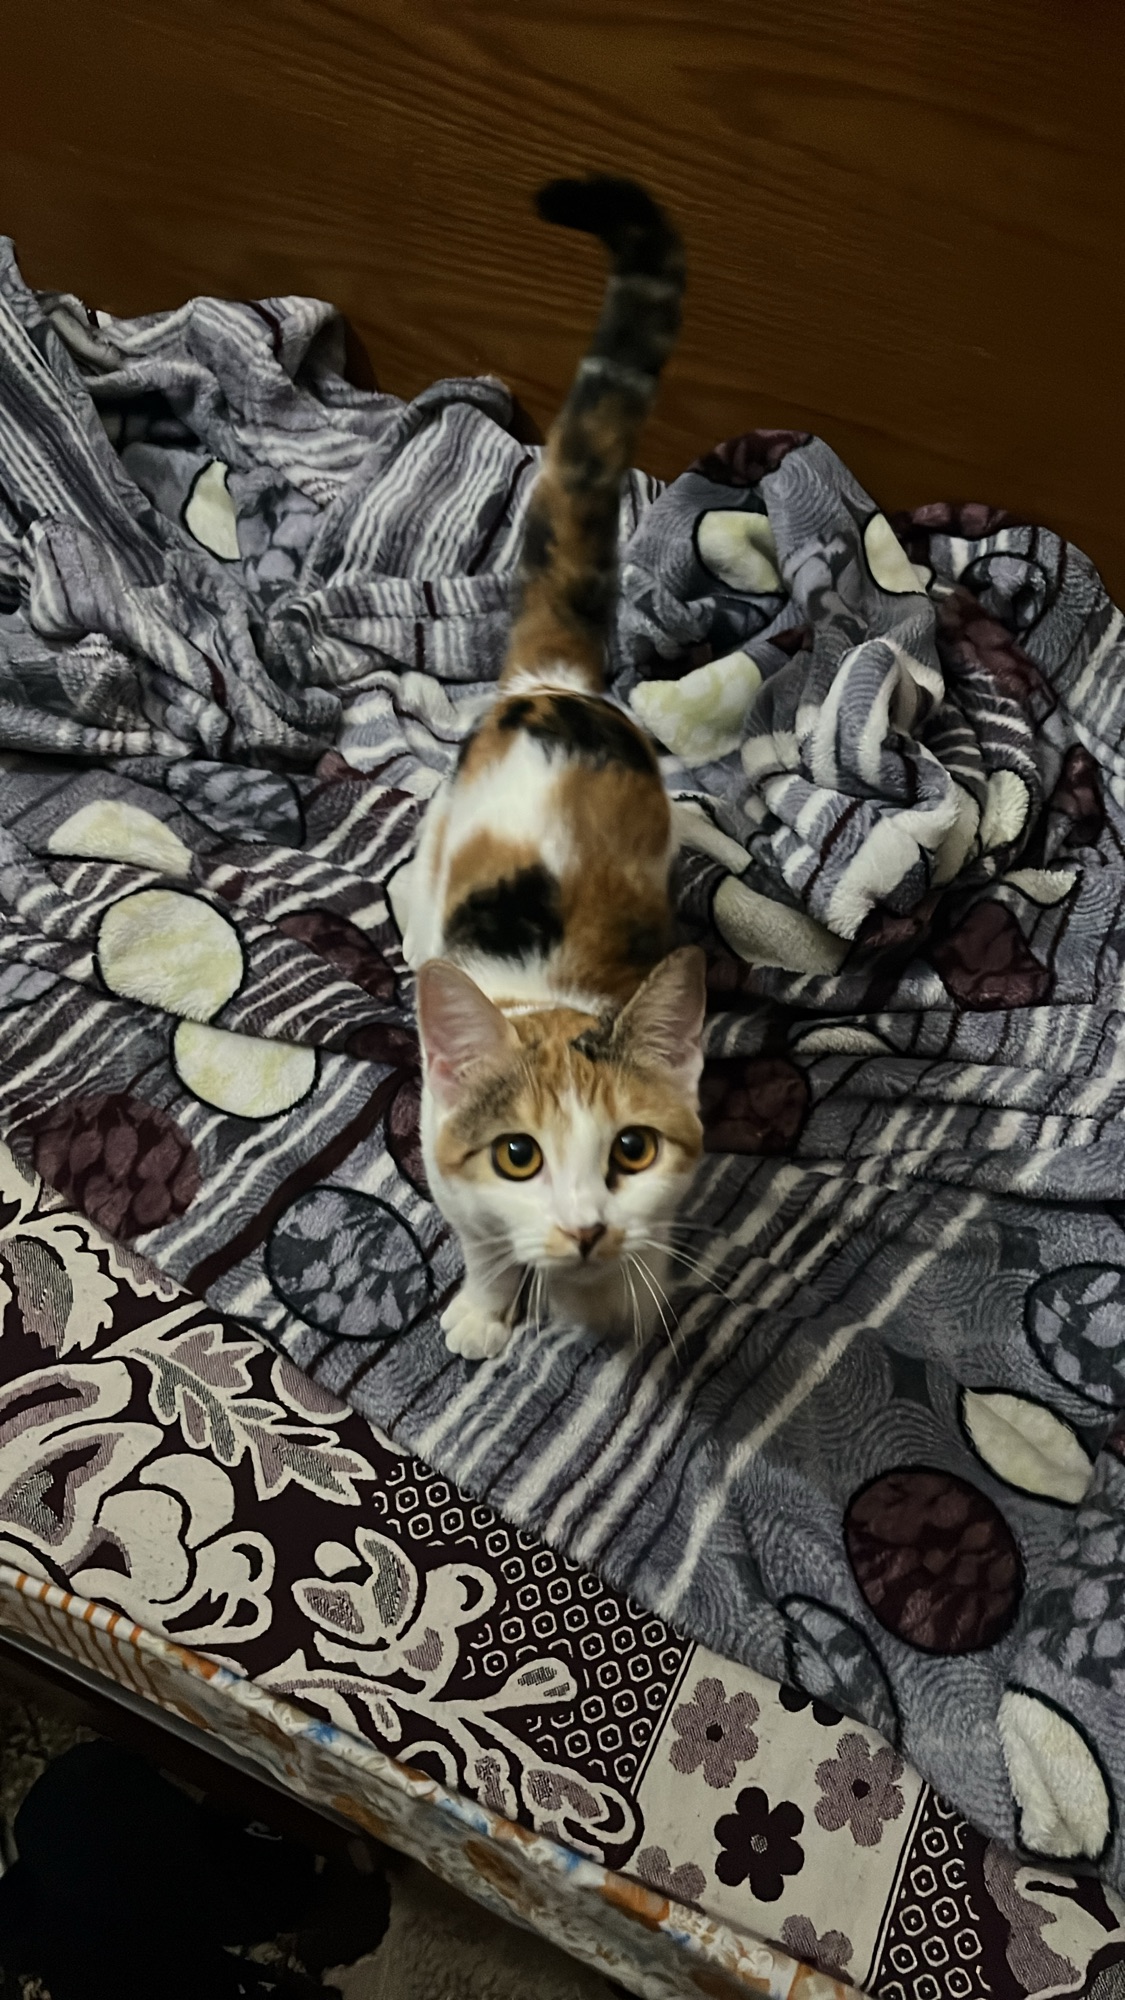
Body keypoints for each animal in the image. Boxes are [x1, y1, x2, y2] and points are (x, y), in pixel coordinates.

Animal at [402, 175, 706, 1361]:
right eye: (517, 1156)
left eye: (631, 1150)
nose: (582, 1230)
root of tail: (554, 683)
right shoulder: (450, 1167)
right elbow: (482, 1243)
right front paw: (486, 1310)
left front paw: (625, 1297)